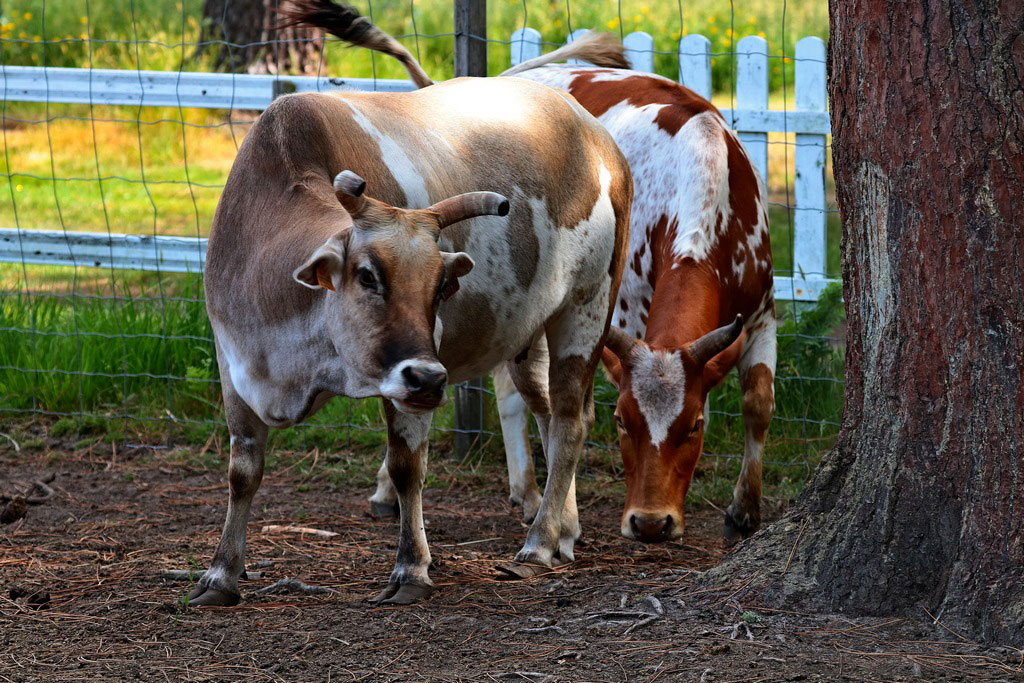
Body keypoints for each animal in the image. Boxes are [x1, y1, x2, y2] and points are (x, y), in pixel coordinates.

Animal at [189, 1, 630, 610]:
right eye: (367, 276)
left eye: (441, 287)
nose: (428, 378)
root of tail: (593, 134)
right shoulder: (233, 364)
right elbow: (242, 471)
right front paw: (221, 574)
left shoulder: (414, 374)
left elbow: (406, 469)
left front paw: (412, 568)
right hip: (527, 333)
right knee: (548, 410)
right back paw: (564, 528)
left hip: (585, 309)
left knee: (568, 419)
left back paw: (540, 542)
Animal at [487, 44, 774, 544]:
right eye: (622, 420)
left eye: (695, 425)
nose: (651, 523)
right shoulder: (626, 318)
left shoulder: (763, 314)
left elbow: (758, 402)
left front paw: (744, 510)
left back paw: (526, 492)